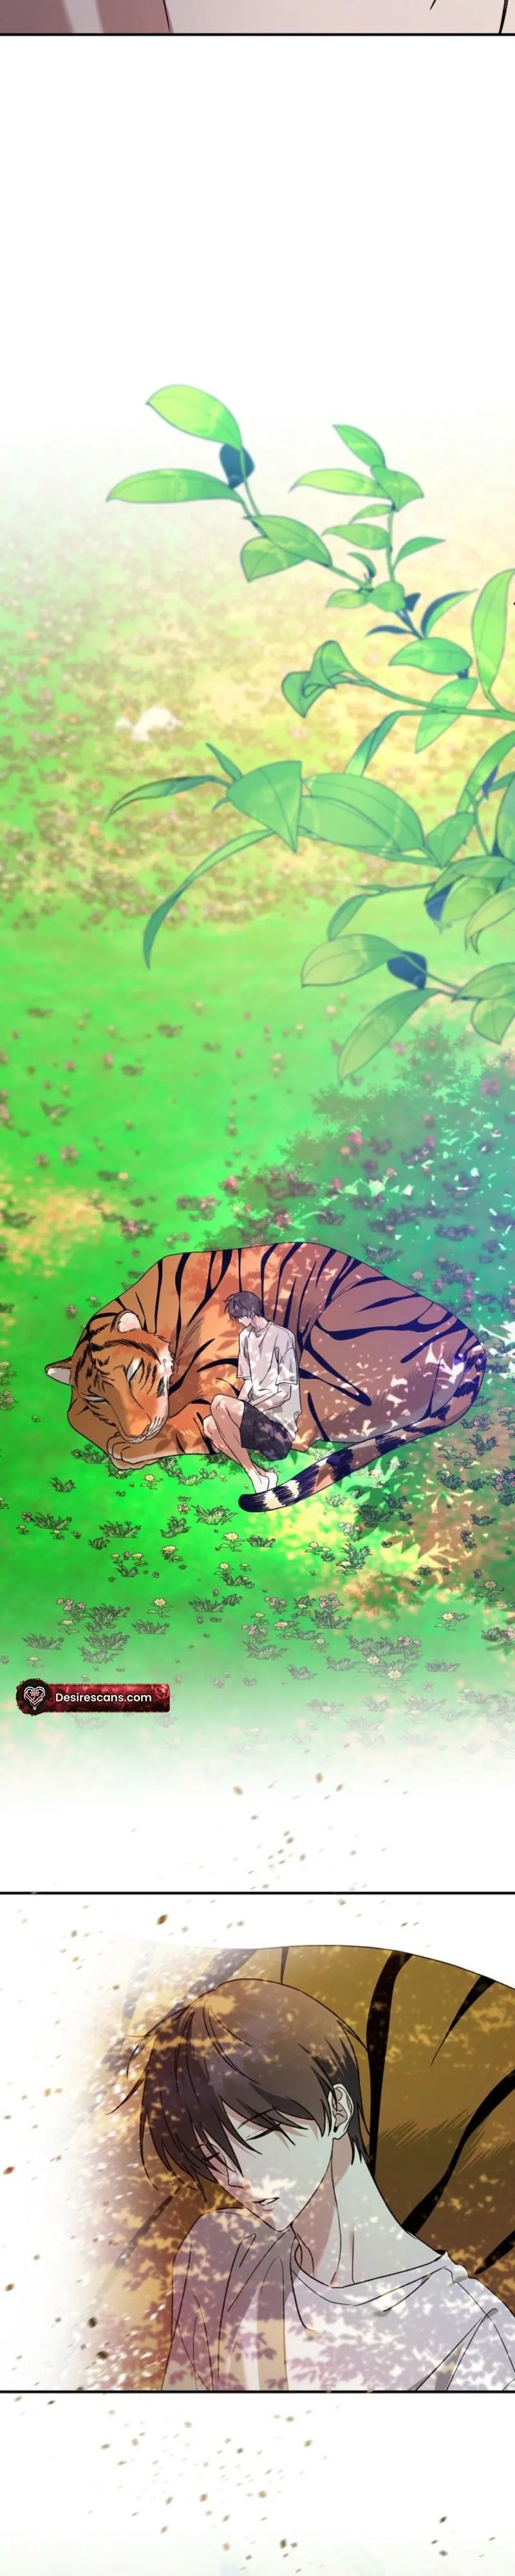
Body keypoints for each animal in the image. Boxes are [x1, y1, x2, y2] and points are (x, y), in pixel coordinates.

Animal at [45, 1239, 487, 1514]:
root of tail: (471, 1343)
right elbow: (76, 1417)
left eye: (135, 1372)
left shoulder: (212, 1394)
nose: (136, 1432)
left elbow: (179, 1428)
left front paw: (127, 1448)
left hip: (329, 1347)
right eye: (98, 1397)